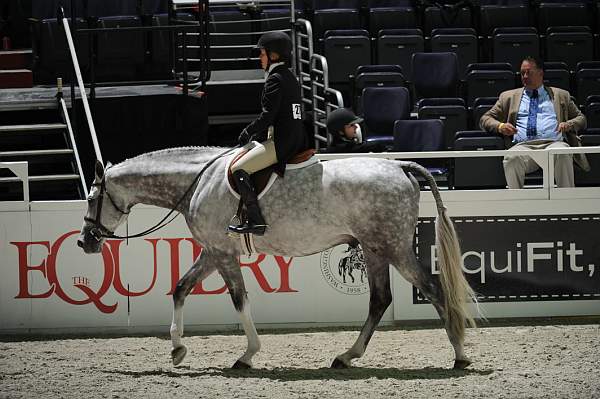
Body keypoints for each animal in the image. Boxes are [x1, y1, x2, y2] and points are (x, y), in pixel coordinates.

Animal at [77, 145, 476, 370]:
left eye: (92, 198)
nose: (84, 242)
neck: (198, 181)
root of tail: (399, 166)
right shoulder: (213, 251)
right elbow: (180, 288)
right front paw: (177, 349)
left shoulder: (222, 253)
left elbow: (239, 300)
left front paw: (247, 355)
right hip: (374, 248)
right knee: (380, 299)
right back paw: (346, 356)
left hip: (393, 247)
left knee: (433, 290)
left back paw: (459, 355)